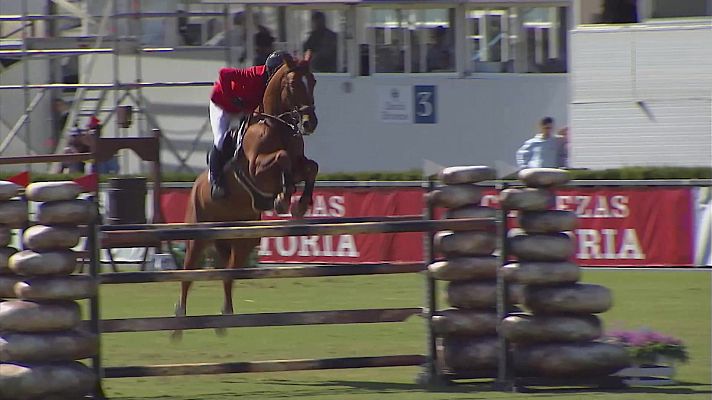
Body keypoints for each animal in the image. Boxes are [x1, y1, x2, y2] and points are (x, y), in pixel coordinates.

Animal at [171, 52, 318, 340]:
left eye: (314, 81)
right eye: (294, 84)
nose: (310, 123)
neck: (277, 125)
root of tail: (195, 186)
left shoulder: (299, 163)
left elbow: (311, 167)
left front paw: (300, 204)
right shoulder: (256, 169)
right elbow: (282, 158)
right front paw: (283, 198)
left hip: (244, 239)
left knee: (229, 273)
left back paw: (226, 318)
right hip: (197, 235)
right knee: (187, 275)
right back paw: (179, 323)